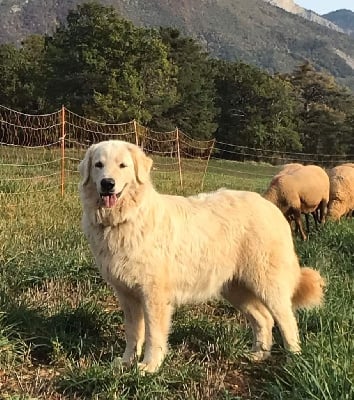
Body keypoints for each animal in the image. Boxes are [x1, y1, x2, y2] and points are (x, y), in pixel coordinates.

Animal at [79, 140, 324, 372]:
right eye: (99, 165)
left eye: (123, 165)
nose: (107, 183)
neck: (127, 218)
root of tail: (271, 208)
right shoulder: (127, 295)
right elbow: (133, 333)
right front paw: (126, 363)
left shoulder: (153, 295)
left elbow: (153, 334)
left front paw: (150, 366)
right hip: (235, 288)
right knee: (264, 318)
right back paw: (258, 355)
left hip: (268, 284)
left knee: (287, 320)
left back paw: (294, 360)